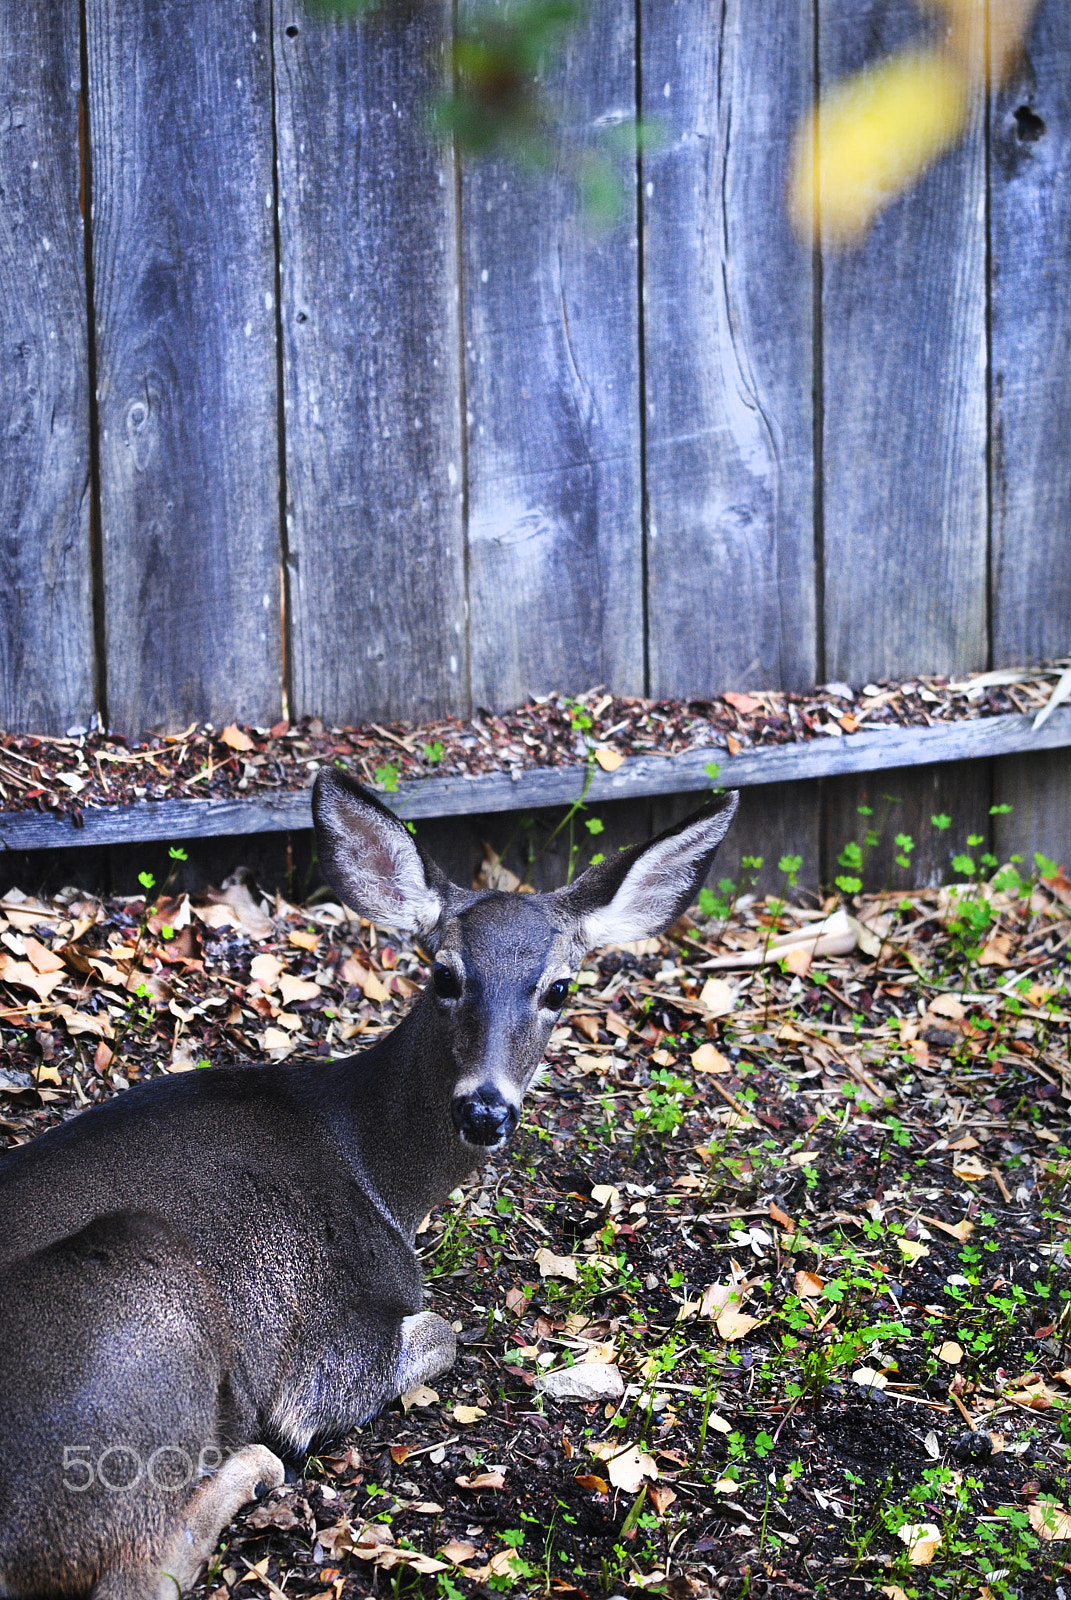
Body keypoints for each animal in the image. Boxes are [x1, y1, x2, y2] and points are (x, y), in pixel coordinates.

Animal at [0, 769, 737, 1600]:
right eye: (445, 973)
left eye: (558, 989)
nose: (484, 1109)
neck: (384, 1177)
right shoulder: (324, 1356)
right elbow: (437, 1333)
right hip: (133, 1303)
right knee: (141, 1568)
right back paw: (252, 1466)